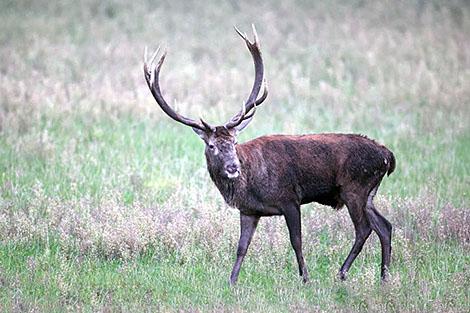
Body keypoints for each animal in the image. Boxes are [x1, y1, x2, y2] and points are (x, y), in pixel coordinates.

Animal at [141, 25, 394, 284]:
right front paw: (232, 281)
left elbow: (296, 241)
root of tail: (388, 156)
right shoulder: (249, 210)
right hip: (368, 192)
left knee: (364, 229)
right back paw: (383, 277)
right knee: (385, 226)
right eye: (211, 145)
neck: (251, 183)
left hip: (354, 187)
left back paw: (342, 273)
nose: (233, 167)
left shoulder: (290, 198)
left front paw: (305, 278)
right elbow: (242, 247)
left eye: (234, 142)